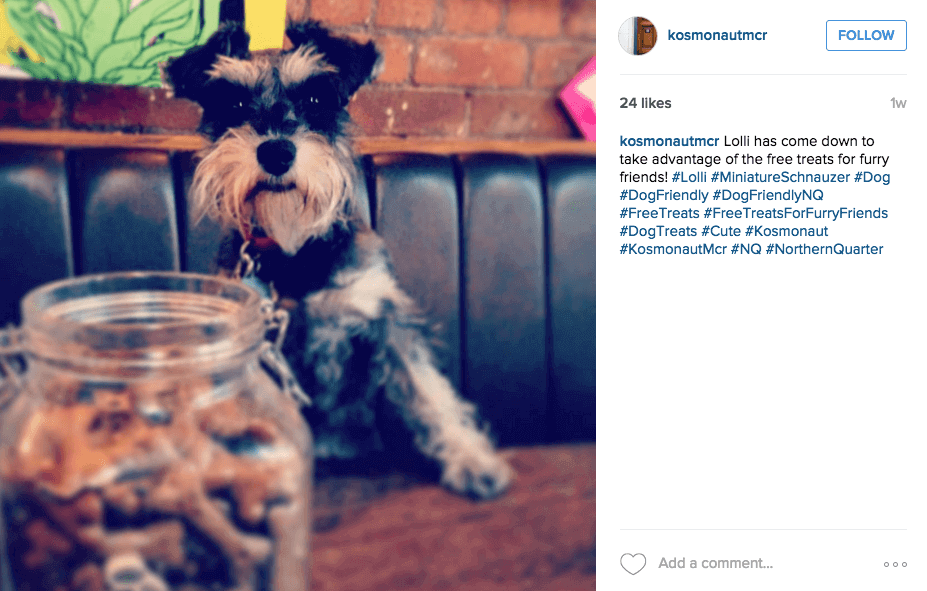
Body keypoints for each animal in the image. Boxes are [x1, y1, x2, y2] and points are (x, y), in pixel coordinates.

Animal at [164, 21, 512, 499]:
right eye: (233, 103)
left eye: (315, 99)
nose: (276, 152)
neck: (293, 252)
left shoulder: (385, 315)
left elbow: (428, 388)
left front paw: (472, 458)